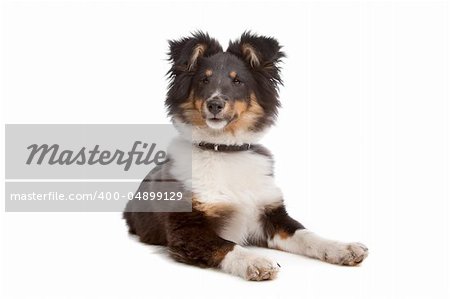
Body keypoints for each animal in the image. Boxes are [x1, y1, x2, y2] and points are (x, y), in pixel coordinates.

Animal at [122, 31, 366, 282]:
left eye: (237, 81)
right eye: (204, 80)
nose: (215, 104)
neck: (224, 149)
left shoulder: (271, 215)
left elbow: (306, 234)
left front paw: (341, 248)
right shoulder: (186, 228)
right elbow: (226, 245)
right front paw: (256, 261)